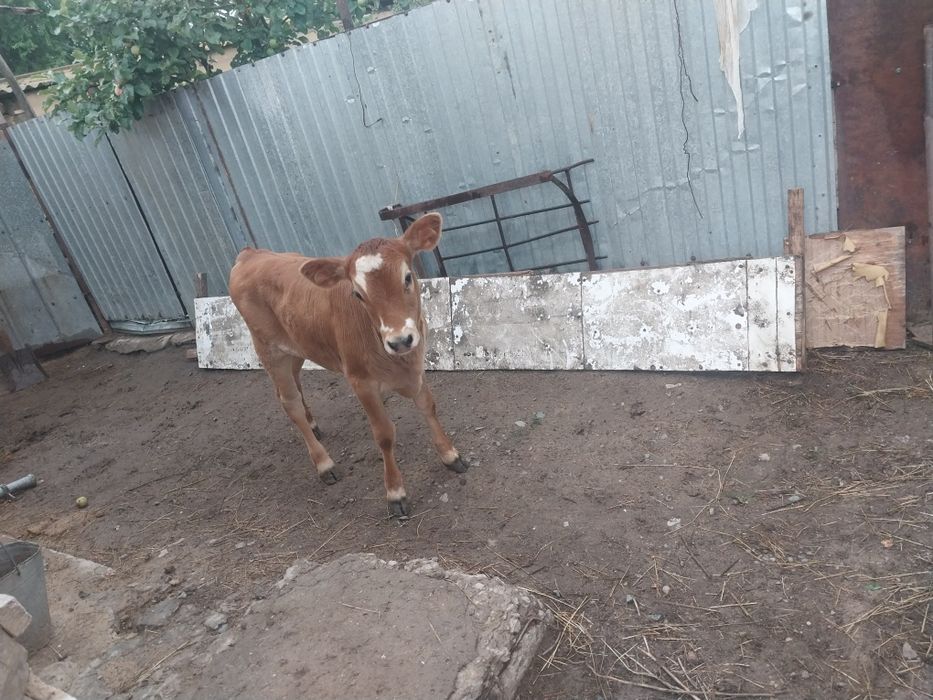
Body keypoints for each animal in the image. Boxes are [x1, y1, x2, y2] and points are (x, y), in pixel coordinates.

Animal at [228, 213, 468, 518]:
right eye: (357, 294)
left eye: (407, 277)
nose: (400, 340)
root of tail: (251, 254)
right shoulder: (360, 381)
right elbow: (384, 434)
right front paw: (395, 493)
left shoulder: (417, 364)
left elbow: (428, 406)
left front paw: (450, 455)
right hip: (269, 349)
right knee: (289, 402)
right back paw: (324, 463)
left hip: (297, 345)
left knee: (296, 383)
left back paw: (313, 423)